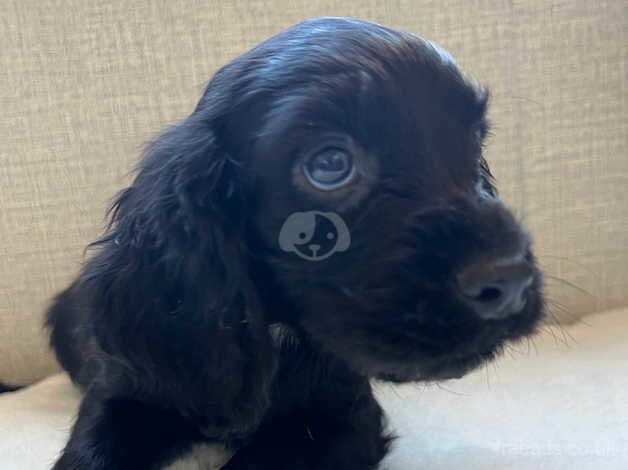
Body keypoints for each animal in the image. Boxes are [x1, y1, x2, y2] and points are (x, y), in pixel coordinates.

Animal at [45, 16, 544, 468]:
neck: (276, 330)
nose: (511, 280)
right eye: (329, 165)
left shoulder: (337, 419)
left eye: (474, 141)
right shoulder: (127, 393)